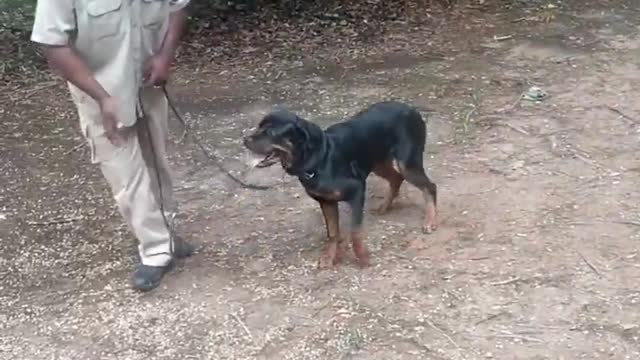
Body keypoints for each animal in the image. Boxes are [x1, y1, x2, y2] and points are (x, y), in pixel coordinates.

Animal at [242, 100, 438, 268]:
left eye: (270, 133)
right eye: (258, 127)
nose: (244, 140)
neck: (319, 159)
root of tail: (412, 109)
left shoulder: (357, 190)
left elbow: (355, 232)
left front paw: (362, 257)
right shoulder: (326, 201)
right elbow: (333, 233)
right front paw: (329, 257)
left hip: (405, 163)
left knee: (429, 186)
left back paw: (430, 221)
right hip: (378, 162)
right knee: (396, 179)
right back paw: (384, 207)